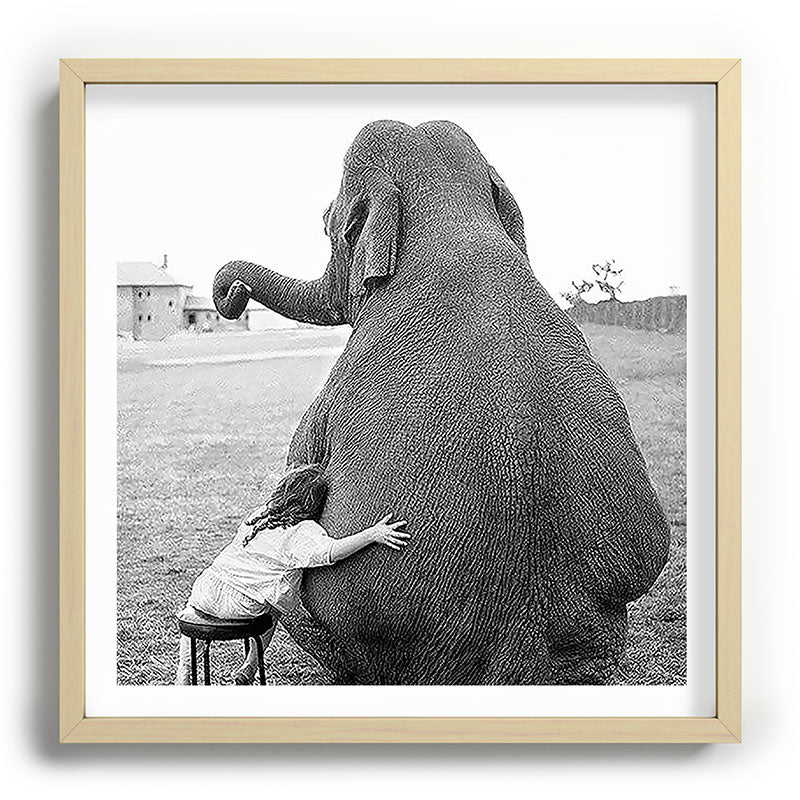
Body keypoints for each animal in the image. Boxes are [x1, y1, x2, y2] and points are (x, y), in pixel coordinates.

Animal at [213, 120, 670, 685]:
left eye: (326, 222)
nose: (232, 292)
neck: (451, 215)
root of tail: (520, 656)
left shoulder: (333, 390)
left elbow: (301, 465)